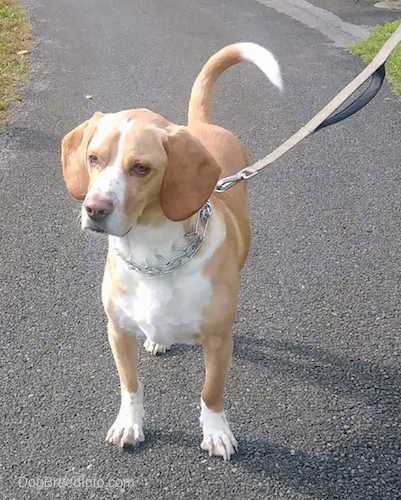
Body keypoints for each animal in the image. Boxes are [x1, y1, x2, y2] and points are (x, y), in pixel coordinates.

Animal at [61, 43, 282, 460]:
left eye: (140, 168)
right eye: (94, 158)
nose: (94, 209)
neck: (154, 259)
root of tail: (200, 124)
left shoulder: (218, 342)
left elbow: (211, 392)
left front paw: (216, 432)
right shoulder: (118, 331)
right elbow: (130, 386)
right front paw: (129, 424)